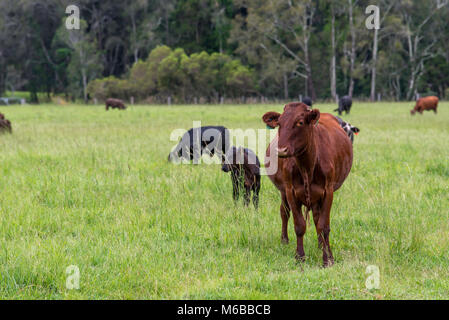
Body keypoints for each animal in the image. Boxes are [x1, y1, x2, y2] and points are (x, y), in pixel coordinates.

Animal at [262, 102, 354, 268]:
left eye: (300, 122)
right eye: (279, 123)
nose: (281, 150)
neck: (307, 166)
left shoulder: (328, 191)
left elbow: (324, 226)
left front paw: (328, 258)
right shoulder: (291, 191)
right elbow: (299, 225)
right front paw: (300, 257)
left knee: (317, 219)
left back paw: (320, 245)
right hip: (283, 192)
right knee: (284, 212)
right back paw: (284, 240)